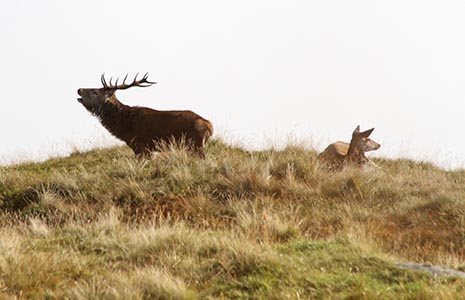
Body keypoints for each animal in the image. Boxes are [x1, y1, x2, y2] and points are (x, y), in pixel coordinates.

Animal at [77, 74, 213, 158]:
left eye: (94, 92)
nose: (79, 89)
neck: (125, 128)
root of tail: (210, 126)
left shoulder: (141, 147)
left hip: (195, 145)